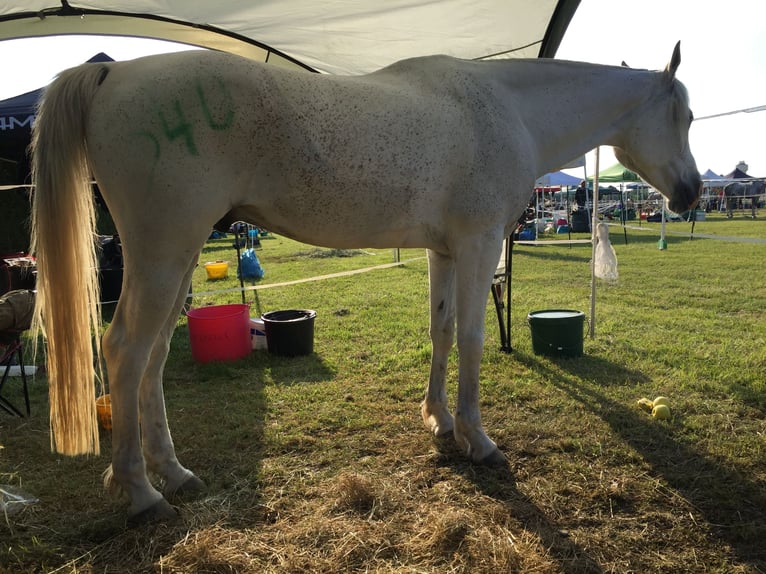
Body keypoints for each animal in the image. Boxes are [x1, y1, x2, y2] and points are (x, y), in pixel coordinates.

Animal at [30, 42, 701, 523]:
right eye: (687, 116)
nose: (692, 192)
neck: (506, 110)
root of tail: (111, 74)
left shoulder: (444, 251)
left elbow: (441, 331)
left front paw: (439, 421)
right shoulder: (478, 244)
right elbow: (474, 338)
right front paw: (478, 440)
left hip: (177, 260)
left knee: (152, 359)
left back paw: (171, 474)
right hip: (163, 254)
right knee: (125, 351)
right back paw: (142, 494)